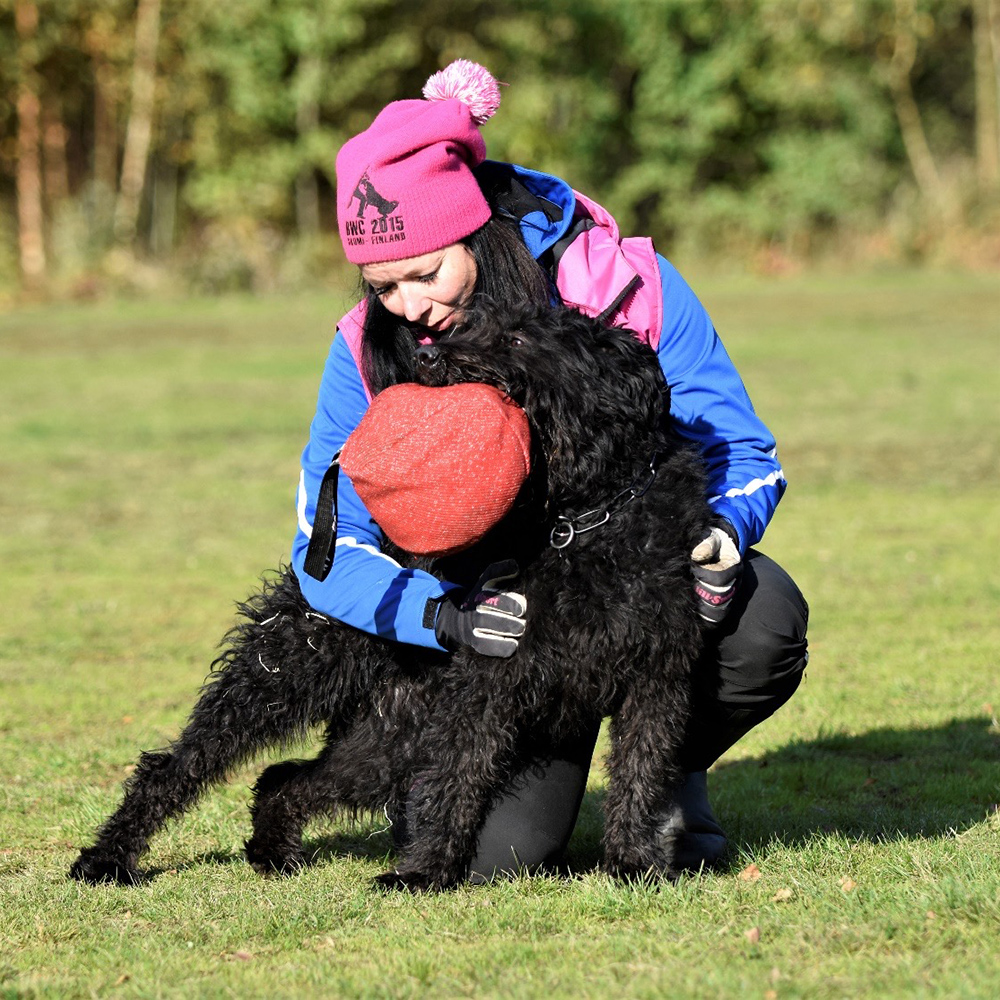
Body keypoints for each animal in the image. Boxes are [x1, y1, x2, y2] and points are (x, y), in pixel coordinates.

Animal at [70, 306, 712, 892]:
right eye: (472, 325)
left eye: (519, 338)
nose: (427, 358)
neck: (584, 519)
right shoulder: (489, 677)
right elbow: (458, 778)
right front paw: (424, 873)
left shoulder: (654, 681)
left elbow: (642, 773)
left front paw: (633, 863)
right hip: (284, 677)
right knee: (176, 764)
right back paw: (105, 859)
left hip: (392, 734)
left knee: (287, 778)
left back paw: (273, 853)